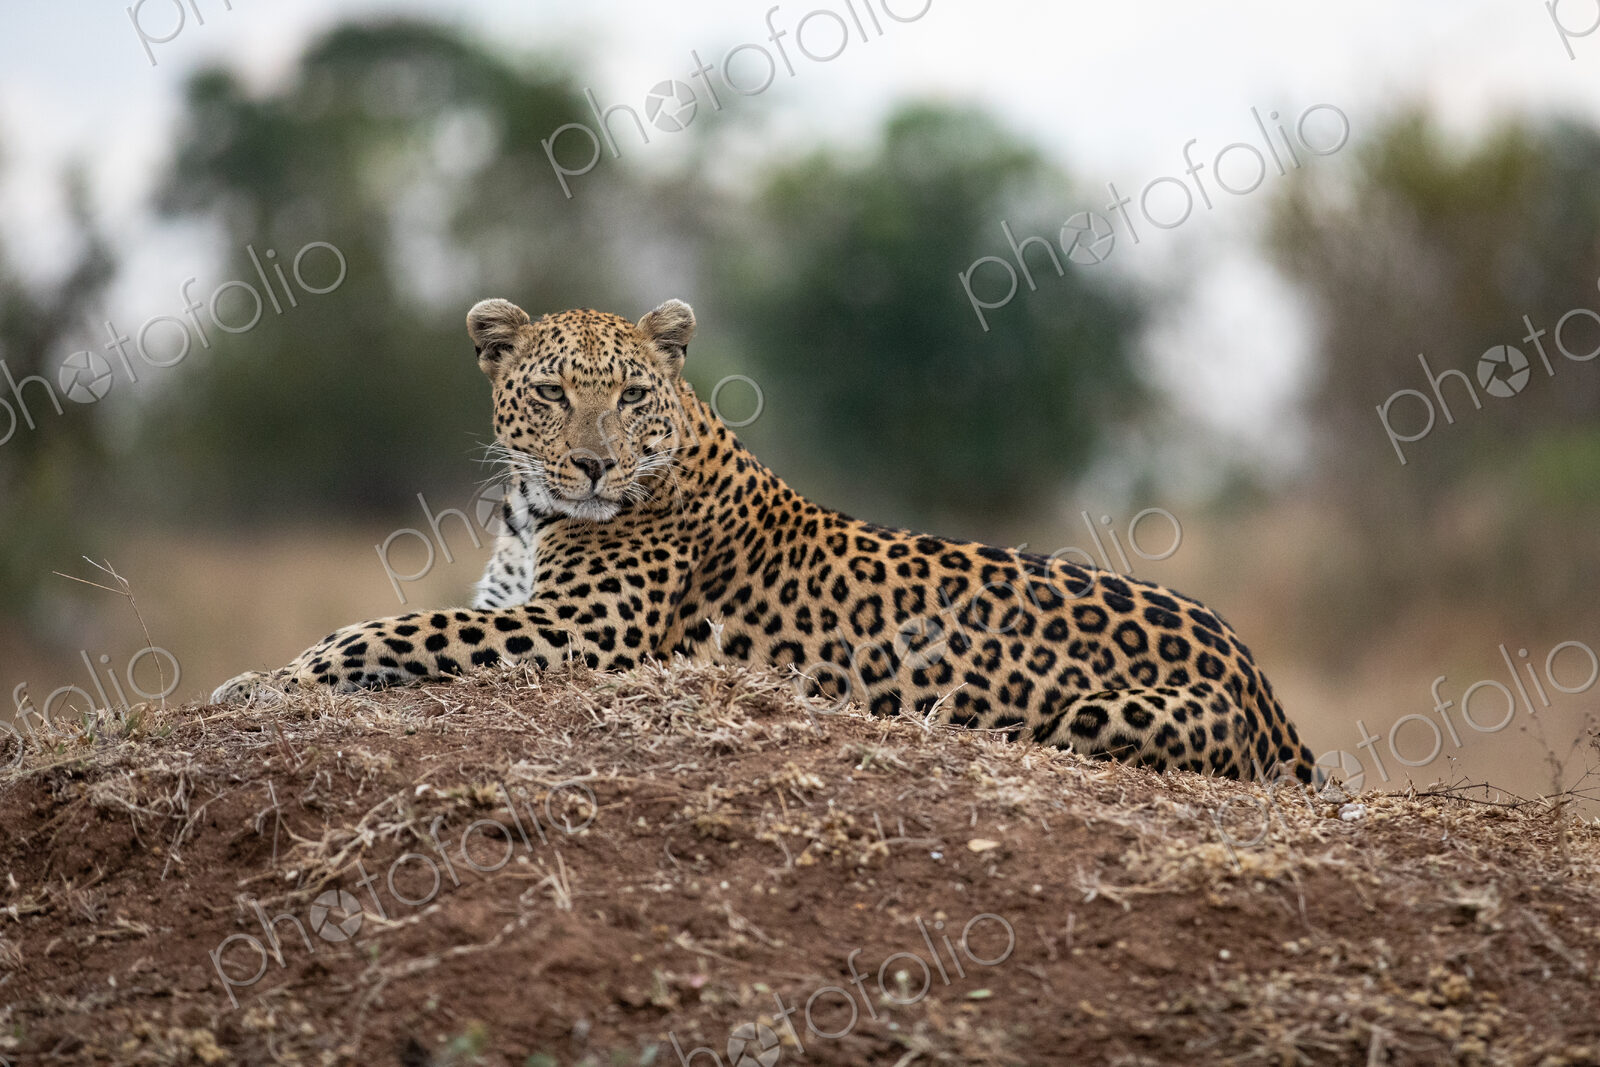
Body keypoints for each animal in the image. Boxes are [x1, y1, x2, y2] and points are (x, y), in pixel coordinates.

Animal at [212, 297, 1320, 784]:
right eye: (553, 391)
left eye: (630, 395)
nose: (595, 466)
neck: (534, 513)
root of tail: (1265, 681)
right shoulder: (520, 608)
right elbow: (403, 620)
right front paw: (257, 678)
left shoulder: (582, 632)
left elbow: (390, 627)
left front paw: (269, 680)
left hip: (1097, 713)